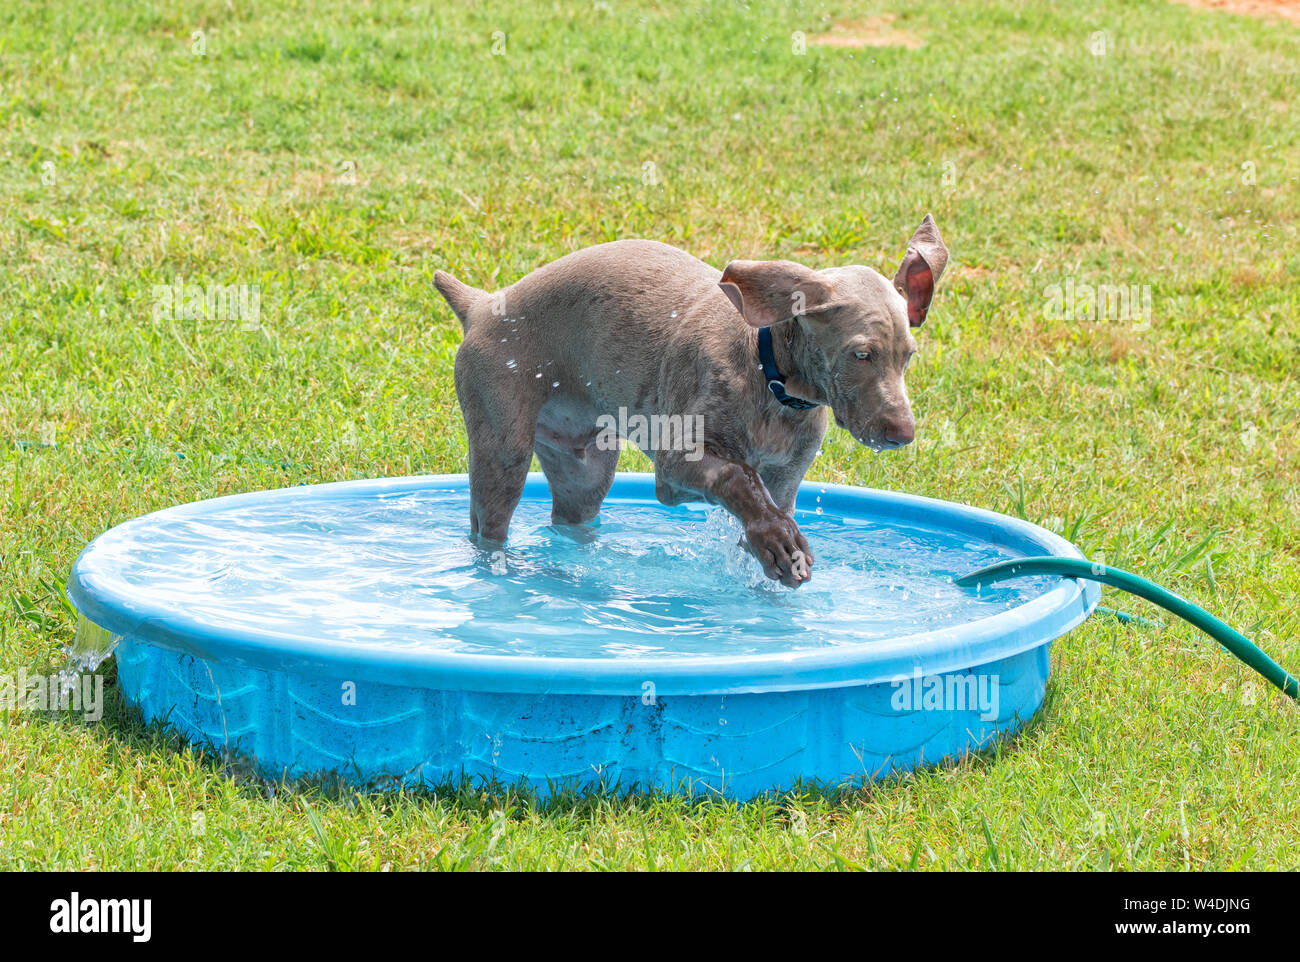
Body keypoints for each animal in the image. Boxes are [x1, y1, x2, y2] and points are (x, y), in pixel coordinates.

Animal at [431, 215, 951, 585]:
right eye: (861, 354)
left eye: (908, 356)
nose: (902, 434)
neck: (772, 383)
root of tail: (481, 303)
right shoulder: (675, 467)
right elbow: (738, 477)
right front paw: (778, 542)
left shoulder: (785, 479)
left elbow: (762, 511)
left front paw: (771, 552)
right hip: (502, 445)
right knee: (487, 527)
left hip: (584, 465)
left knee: (570, 518)